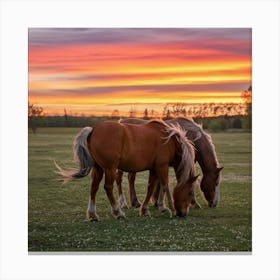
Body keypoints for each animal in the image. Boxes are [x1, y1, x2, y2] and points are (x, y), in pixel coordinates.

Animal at [55, 119, 198, 220]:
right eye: (190, 193)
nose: (183, 213)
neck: (169, 140)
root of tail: (93, 130)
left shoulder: (154, 169)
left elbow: (151, 187)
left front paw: (145, 210)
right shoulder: (162, 166)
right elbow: (165, 186)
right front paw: (169, 209)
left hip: (99, 169)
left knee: (94, 187)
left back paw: (93, 215)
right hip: (110, 169)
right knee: (108, 187)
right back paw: (118, 212)